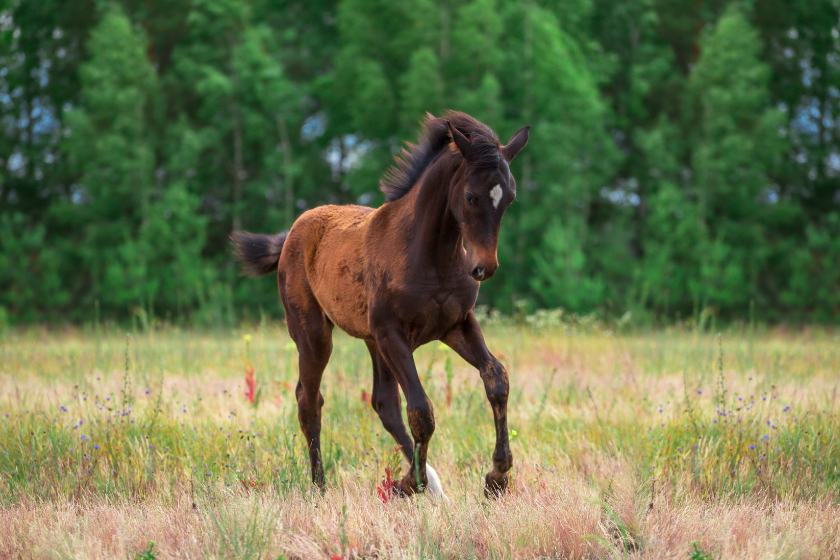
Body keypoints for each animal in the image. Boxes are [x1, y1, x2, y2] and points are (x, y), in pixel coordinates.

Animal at [233, 110, 528, 498]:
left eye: (510, 197)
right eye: (469, 195)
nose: (484, 268)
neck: (431, 257)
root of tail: (293, 232)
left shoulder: (457, 324)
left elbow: (496, 378)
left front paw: (497, 476)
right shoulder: (393, 333)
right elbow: (421, 409)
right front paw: (410, 482)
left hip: (373, 341)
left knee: (383, 403)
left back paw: (430, 483)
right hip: (314, 334)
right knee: (309, 400)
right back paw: (321, 485)